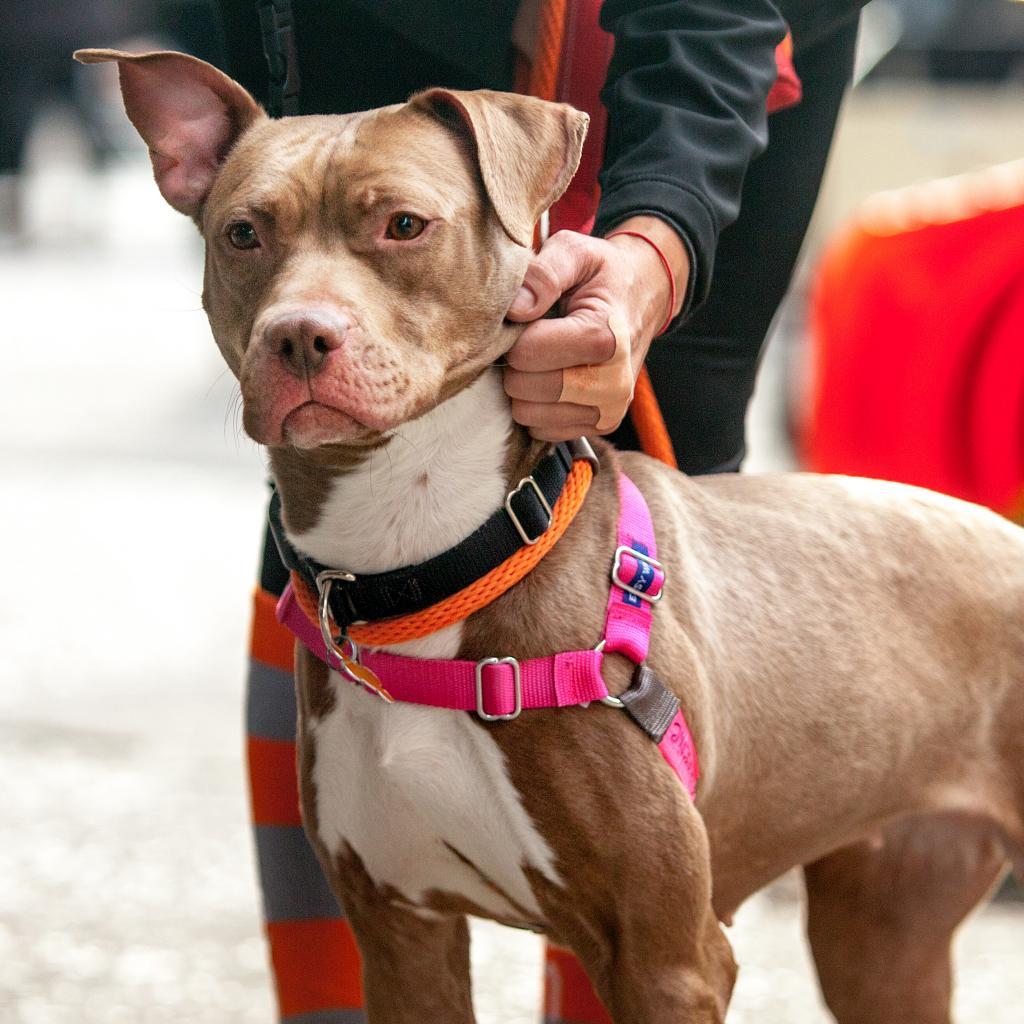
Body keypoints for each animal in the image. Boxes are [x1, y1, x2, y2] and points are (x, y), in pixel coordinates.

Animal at [77, 48, 1024, 1024]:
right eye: (242, 234)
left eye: (404, 224)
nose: (299, 336)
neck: (425, 569)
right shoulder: (402, 935)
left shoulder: (669, 959)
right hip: (881, 935)